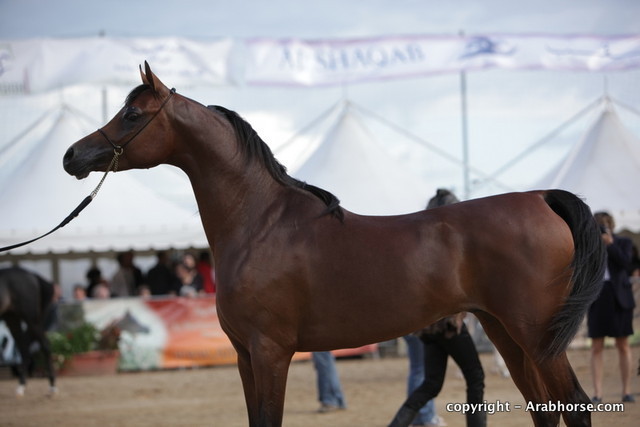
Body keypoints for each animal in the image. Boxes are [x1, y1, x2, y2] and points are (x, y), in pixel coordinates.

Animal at [0, 267, 57, 396]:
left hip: (30, 316)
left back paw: (52, 386)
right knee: (23, 347)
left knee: (44, 344)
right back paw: (21, 386)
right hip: (12, 317)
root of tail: (32, 274)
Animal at [62, 62, 605, 426]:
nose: (73, 156)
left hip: (535, 335)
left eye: (133, 114)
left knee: (575, 407)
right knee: (545, 410)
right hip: (504, 332)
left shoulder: (270, 351)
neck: (260, 224)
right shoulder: (243, 355)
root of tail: (540, 198)